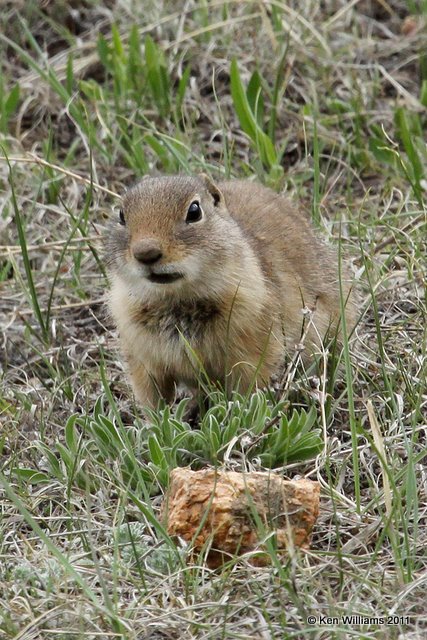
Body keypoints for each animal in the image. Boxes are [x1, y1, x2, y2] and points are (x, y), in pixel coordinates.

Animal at [105, 172, 356, 408]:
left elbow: (250, 382)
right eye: (121, 215)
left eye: (194, 211)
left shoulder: (254, 342)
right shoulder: (139, 353)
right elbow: (151, 395)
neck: (176, 300)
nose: (145, 252)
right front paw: (155, 421)